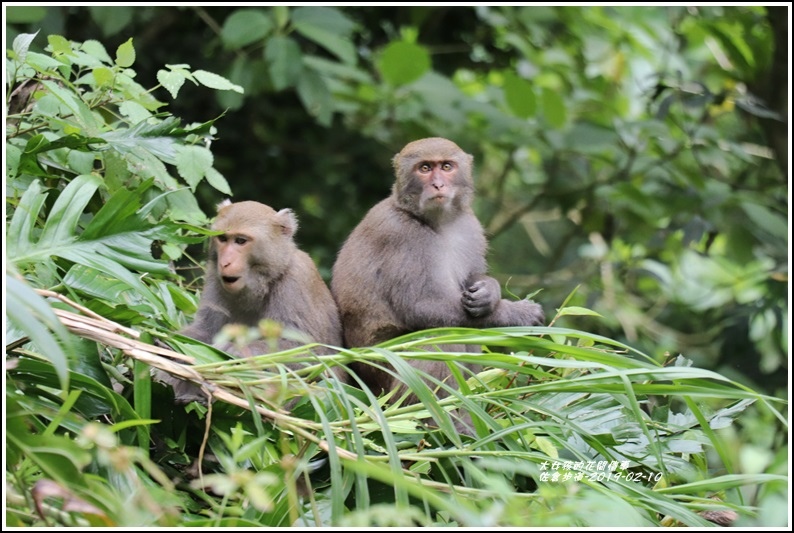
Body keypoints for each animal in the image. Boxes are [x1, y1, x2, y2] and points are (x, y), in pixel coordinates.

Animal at [166, 198, 342, 400]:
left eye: (240, 241)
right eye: (223, 239)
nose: (225, 262)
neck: (265, 280)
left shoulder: (296, 282)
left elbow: (310, 354)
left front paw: (238, 350)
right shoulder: (213, 277)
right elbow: (204, 331)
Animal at [330, 137, 544, 424]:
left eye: (446, 166)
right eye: (424, 168)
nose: (438, 184)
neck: (436, 223)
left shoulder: (469, 225)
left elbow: (471, 279)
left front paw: (489, 294)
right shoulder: (403, 237)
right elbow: (424, 307)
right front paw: (517, 313)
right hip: (389, 378)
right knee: (441, 335)